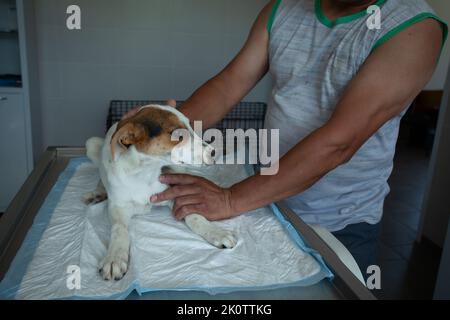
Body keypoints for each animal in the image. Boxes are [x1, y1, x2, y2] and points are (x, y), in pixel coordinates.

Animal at [85, 104, 237, 280]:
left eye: (191, 126)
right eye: (178, 135)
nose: (213, 152)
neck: (145, 173)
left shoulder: (173, 192)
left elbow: (194, 216)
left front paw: (216, 232)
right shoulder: (118, 206)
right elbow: (119, 228)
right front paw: (114, 257)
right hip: (91, 144)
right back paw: (98, 192)